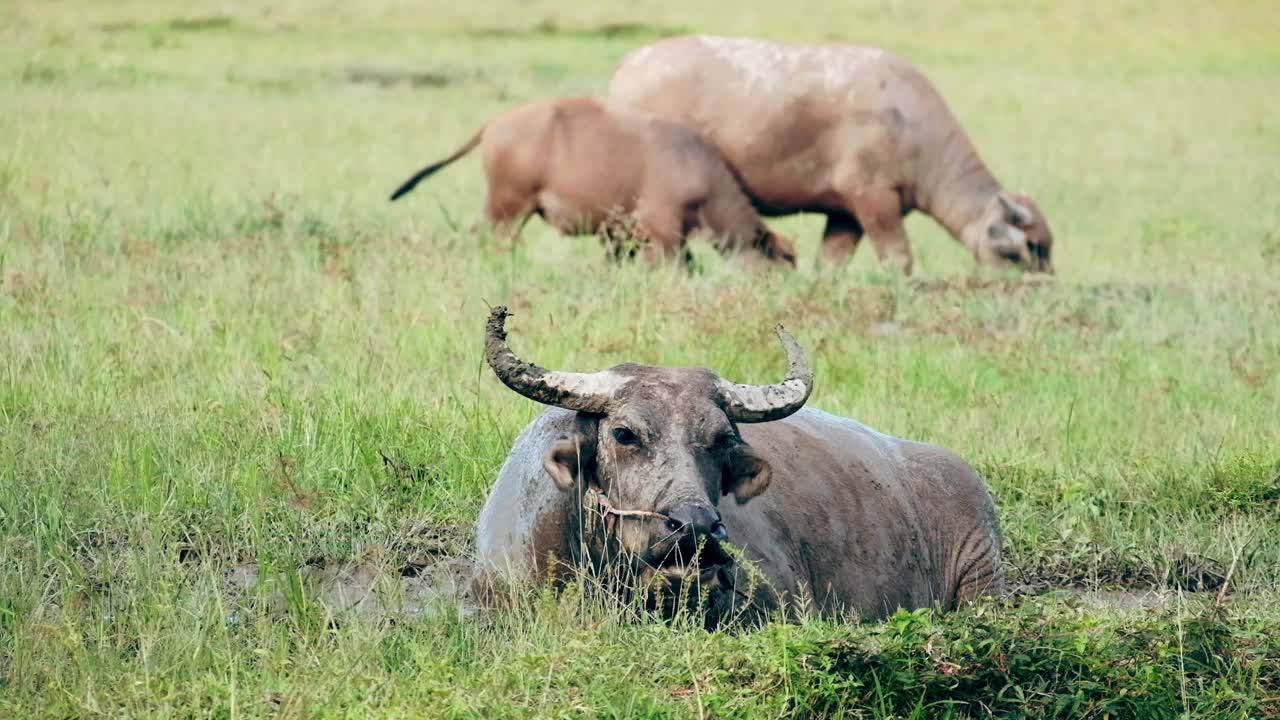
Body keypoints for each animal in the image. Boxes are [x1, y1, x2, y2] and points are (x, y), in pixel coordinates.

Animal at [384, 94, 793, 265]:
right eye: (782, 262)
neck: (699, 169)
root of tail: (496, 123)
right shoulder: (663, 231)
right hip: (511, 210)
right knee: (500, 242)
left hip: (499, 210)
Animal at [609, 33, 1059, 275]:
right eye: (1027, 248)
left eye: (1046, 247)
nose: (1041, 288)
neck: (916, 132)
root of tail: (629, 67)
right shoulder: (874, 200)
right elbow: (898, 258)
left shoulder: (846, 214)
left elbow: (830, 264)